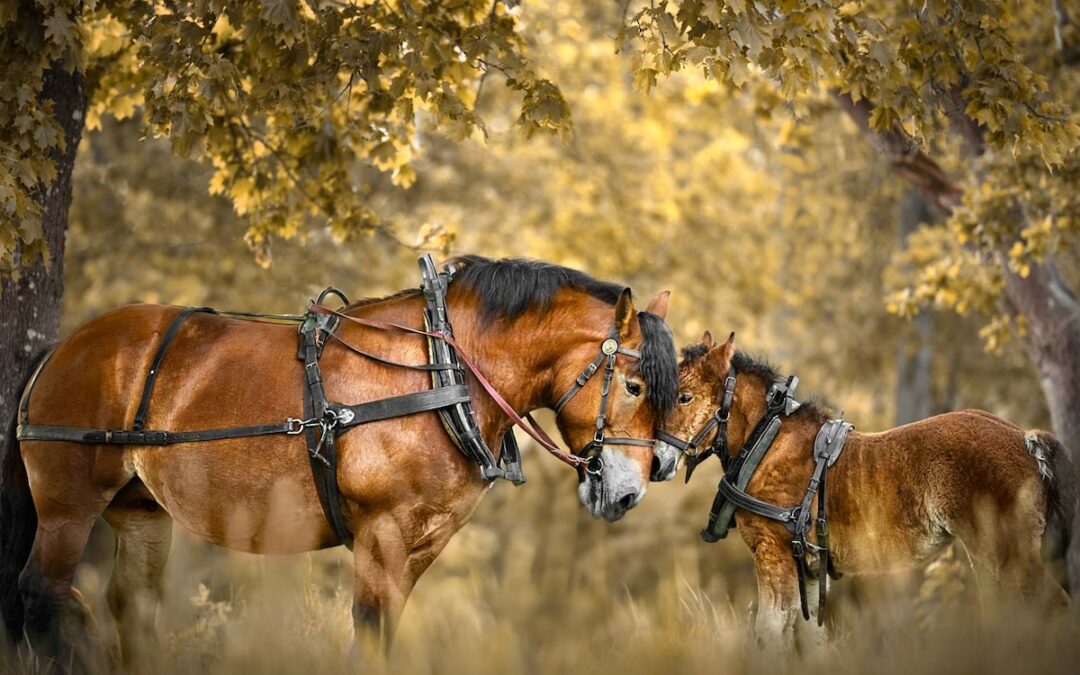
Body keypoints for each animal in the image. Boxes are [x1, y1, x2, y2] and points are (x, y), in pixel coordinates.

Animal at [0, 254, 673, 665]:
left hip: (140, 511)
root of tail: (64, 347)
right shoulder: (382, 534)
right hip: (67, 508)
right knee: (43, 595)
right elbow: (369, 636)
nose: (628, 493)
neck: (443, 371)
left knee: (130, 609)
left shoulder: (420, 544)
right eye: (636, 386)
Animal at [660, 332, 1075, 648]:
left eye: (685, 396)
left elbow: (770, 634)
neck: (768, 442)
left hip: (1006, 554)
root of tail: (1026, 438)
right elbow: (812, 639)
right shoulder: (810, 570)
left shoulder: (772, 555)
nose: (659, 459)